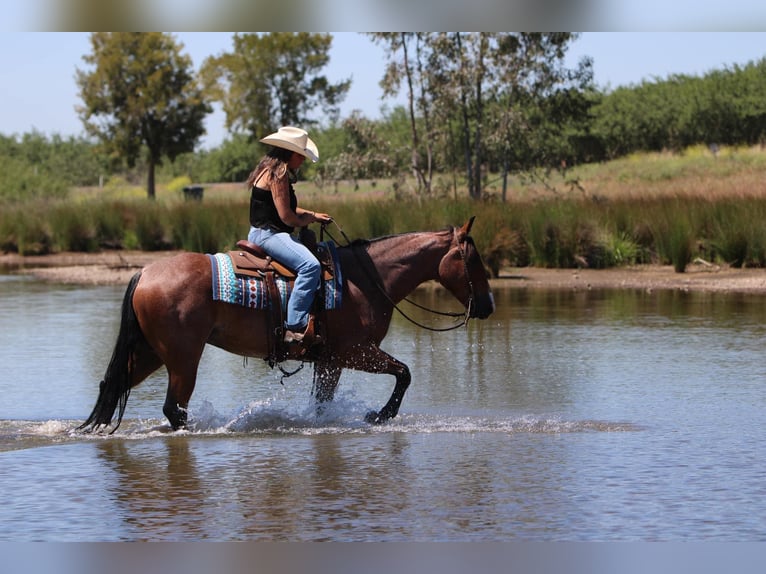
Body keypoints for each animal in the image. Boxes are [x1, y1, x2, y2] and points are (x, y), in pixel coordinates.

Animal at [79, 218, 498, 434]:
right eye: (474, 260)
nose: (489, 305)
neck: (366, 279)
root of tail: (146, 272)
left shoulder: (330, 360)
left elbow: (322, 404)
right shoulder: (355, 351)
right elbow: (404, 372)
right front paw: (380, 415)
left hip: (151, 352)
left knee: (112, 385)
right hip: (183, 359)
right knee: (173, 408)